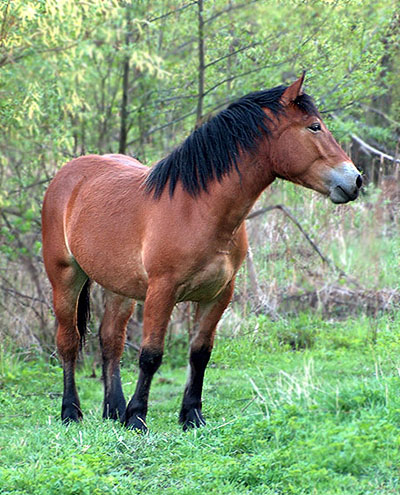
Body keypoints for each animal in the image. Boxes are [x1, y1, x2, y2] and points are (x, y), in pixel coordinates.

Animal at [41, 73, 362, 430]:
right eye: (315, 127)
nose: (355, 180)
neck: (198, 209)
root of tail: (68, 174)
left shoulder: (218, 295)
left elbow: (200, 353)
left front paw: (191, 415)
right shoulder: (161, 292)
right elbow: (151, 355)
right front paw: (137, 418)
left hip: (119, 287)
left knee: (111, 340)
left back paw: (113, 410)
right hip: (65, 277)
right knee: (68, 341)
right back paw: (71, 411)